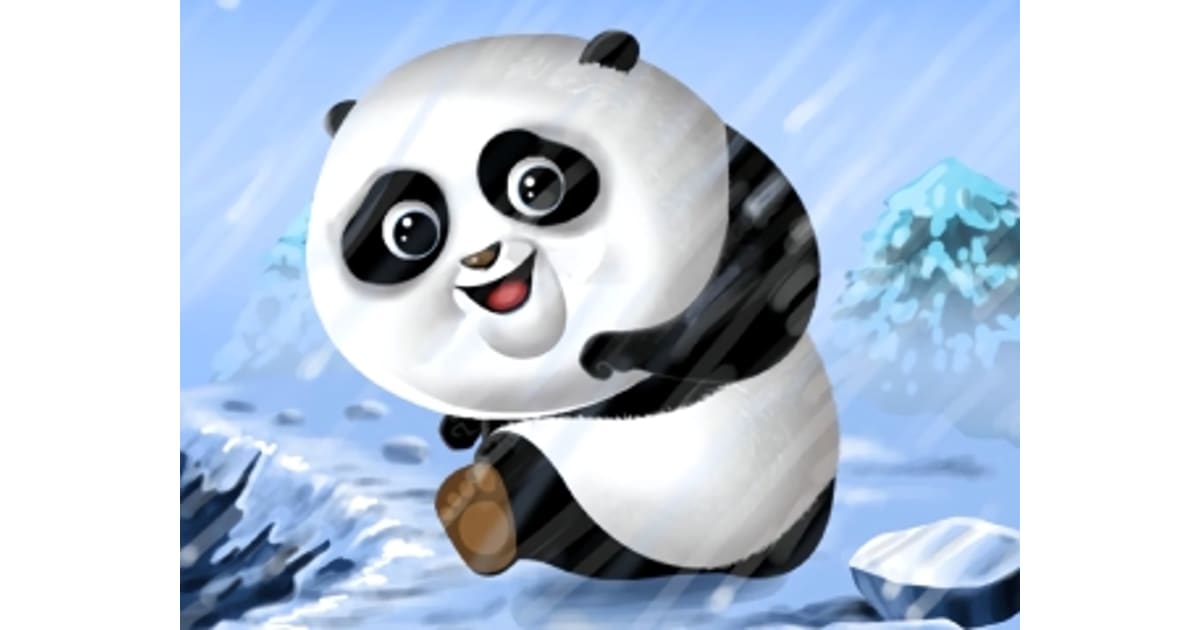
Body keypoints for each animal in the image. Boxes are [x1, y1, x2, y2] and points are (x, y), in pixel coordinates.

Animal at [306, 30, 839, 580]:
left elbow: (770, 285)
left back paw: (486, 508)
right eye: (410, 230)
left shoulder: (731, 184)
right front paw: (460, 425)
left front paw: (613, 351)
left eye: (536, 185)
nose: (482, 256)